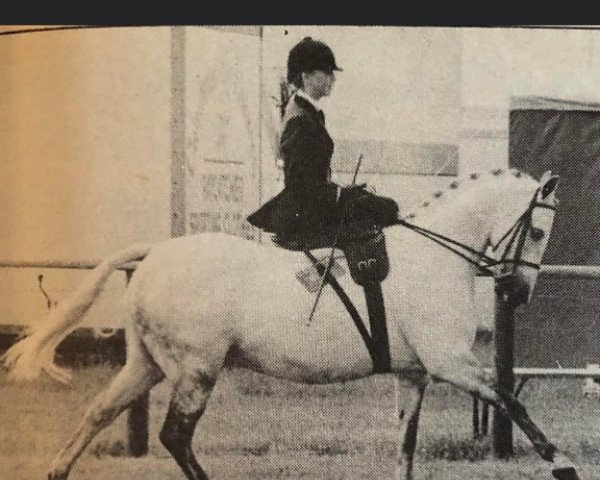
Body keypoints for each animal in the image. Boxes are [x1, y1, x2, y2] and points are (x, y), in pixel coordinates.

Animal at [2, 169, 580, 480]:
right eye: (538, 231)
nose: (515, 293)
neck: (436, 257)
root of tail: (155, 254)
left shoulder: (415, 375)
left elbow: (406, 446)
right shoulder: (452, 365)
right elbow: (511, 402)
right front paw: (564, 464)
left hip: (147, 364)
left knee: (99, 412)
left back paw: (56, 470)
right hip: (196, 369)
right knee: (175, 436)